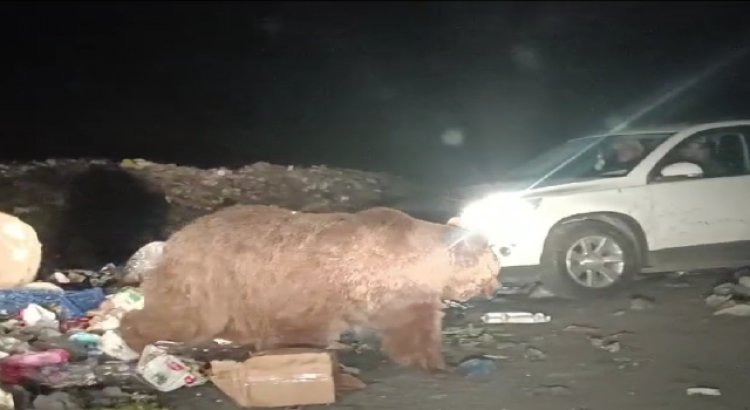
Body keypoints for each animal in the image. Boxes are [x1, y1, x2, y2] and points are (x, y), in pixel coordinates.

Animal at [122, 207, 500, 370]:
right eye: (495, 266)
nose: (496, 287)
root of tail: (175, 236)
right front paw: (435, 361)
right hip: (209, 279)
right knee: (185, 317)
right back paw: (135, 339)